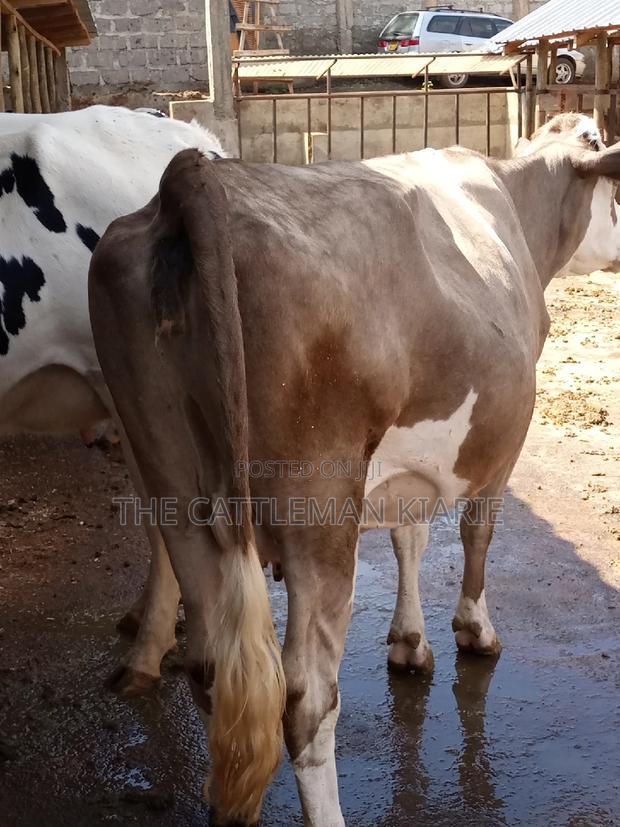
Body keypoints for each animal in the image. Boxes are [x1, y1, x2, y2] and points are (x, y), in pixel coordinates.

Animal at [88, 112, 620, 827]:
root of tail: (193, 179)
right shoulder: (503, 442)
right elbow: (476, 533)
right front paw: (474, 631)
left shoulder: (404, 468)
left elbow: (409, 536)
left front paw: (409, 642)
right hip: (320, 508)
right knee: (306, 699)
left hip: (174, 487)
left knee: (216, 674)